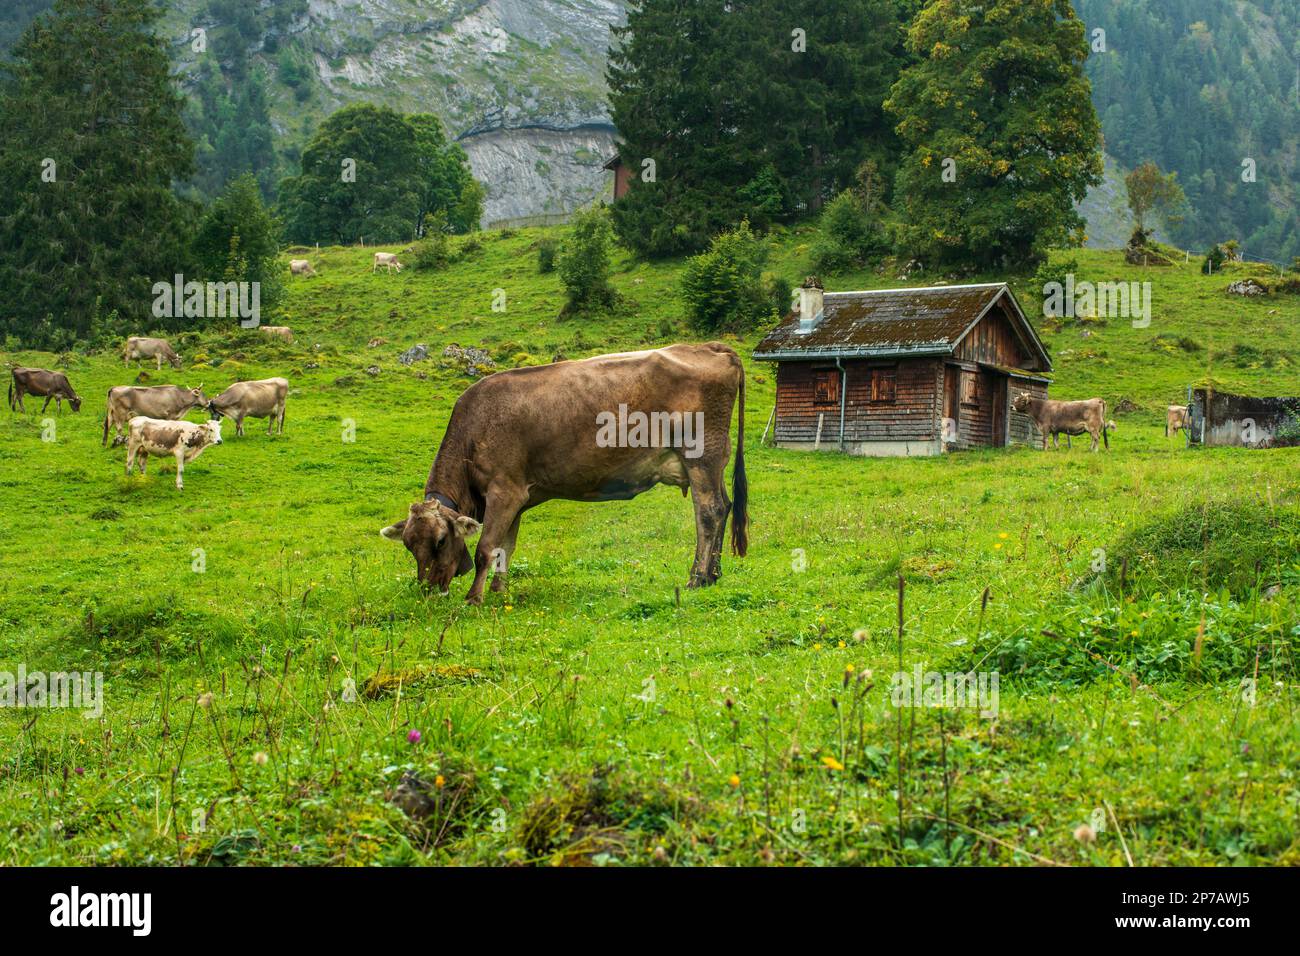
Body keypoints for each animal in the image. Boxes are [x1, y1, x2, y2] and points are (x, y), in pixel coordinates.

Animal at [379, 343, 749, 605]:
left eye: (441, 540)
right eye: (409, 545)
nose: (428, 590)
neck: (474, 429)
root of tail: (709, 347)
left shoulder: (504, 491)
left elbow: (486, 548)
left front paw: (474, 598)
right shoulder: (517, 496)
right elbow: (505, 547)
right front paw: (499, 591)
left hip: (700, 456)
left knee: (709, 511)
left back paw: (697, 577)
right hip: (714, 460)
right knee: (725, 505)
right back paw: (714, 574)